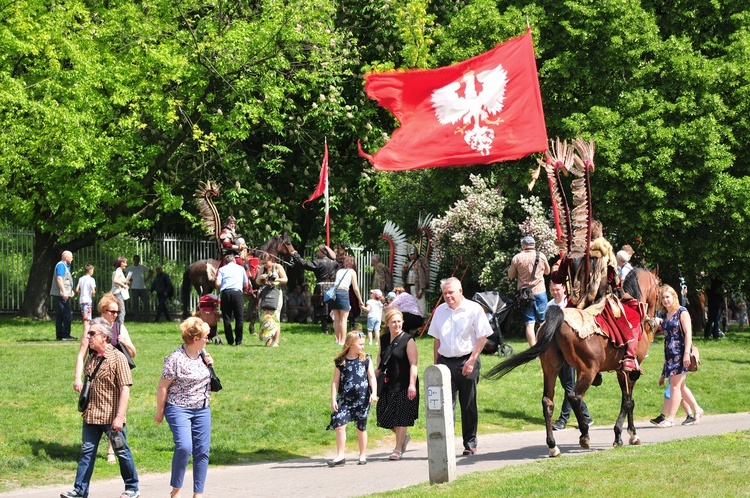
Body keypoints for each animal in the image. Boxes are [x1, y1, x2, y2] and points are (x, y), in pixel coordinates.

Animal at [488, 266, 656, 458]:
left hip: (551, 367)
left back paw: (553, 446)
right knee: (574, 396)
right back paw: (584, 434)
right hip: (588, 371)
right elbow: (628, 402)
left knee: (548, 401)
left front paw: (627, 434)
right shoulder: (627, 371)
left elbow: (628, 401)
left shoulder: (623, 372)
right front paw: (625, 435)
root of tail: (559, 317)